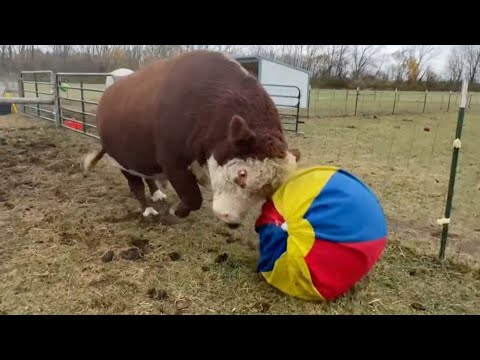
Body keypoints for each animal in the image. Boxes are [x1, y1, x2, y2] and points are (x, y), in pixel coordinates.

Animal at [83, 50, 300, 226]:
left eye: (269, 191)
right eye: (242, 174)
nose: (231, 220)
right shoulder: (173, 162)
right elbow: (193, 197)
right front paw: (176, 211)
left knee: (148, 176)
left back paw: (157, 194)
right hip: (122, 160)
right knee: (136, 185)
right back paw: (148, 210)